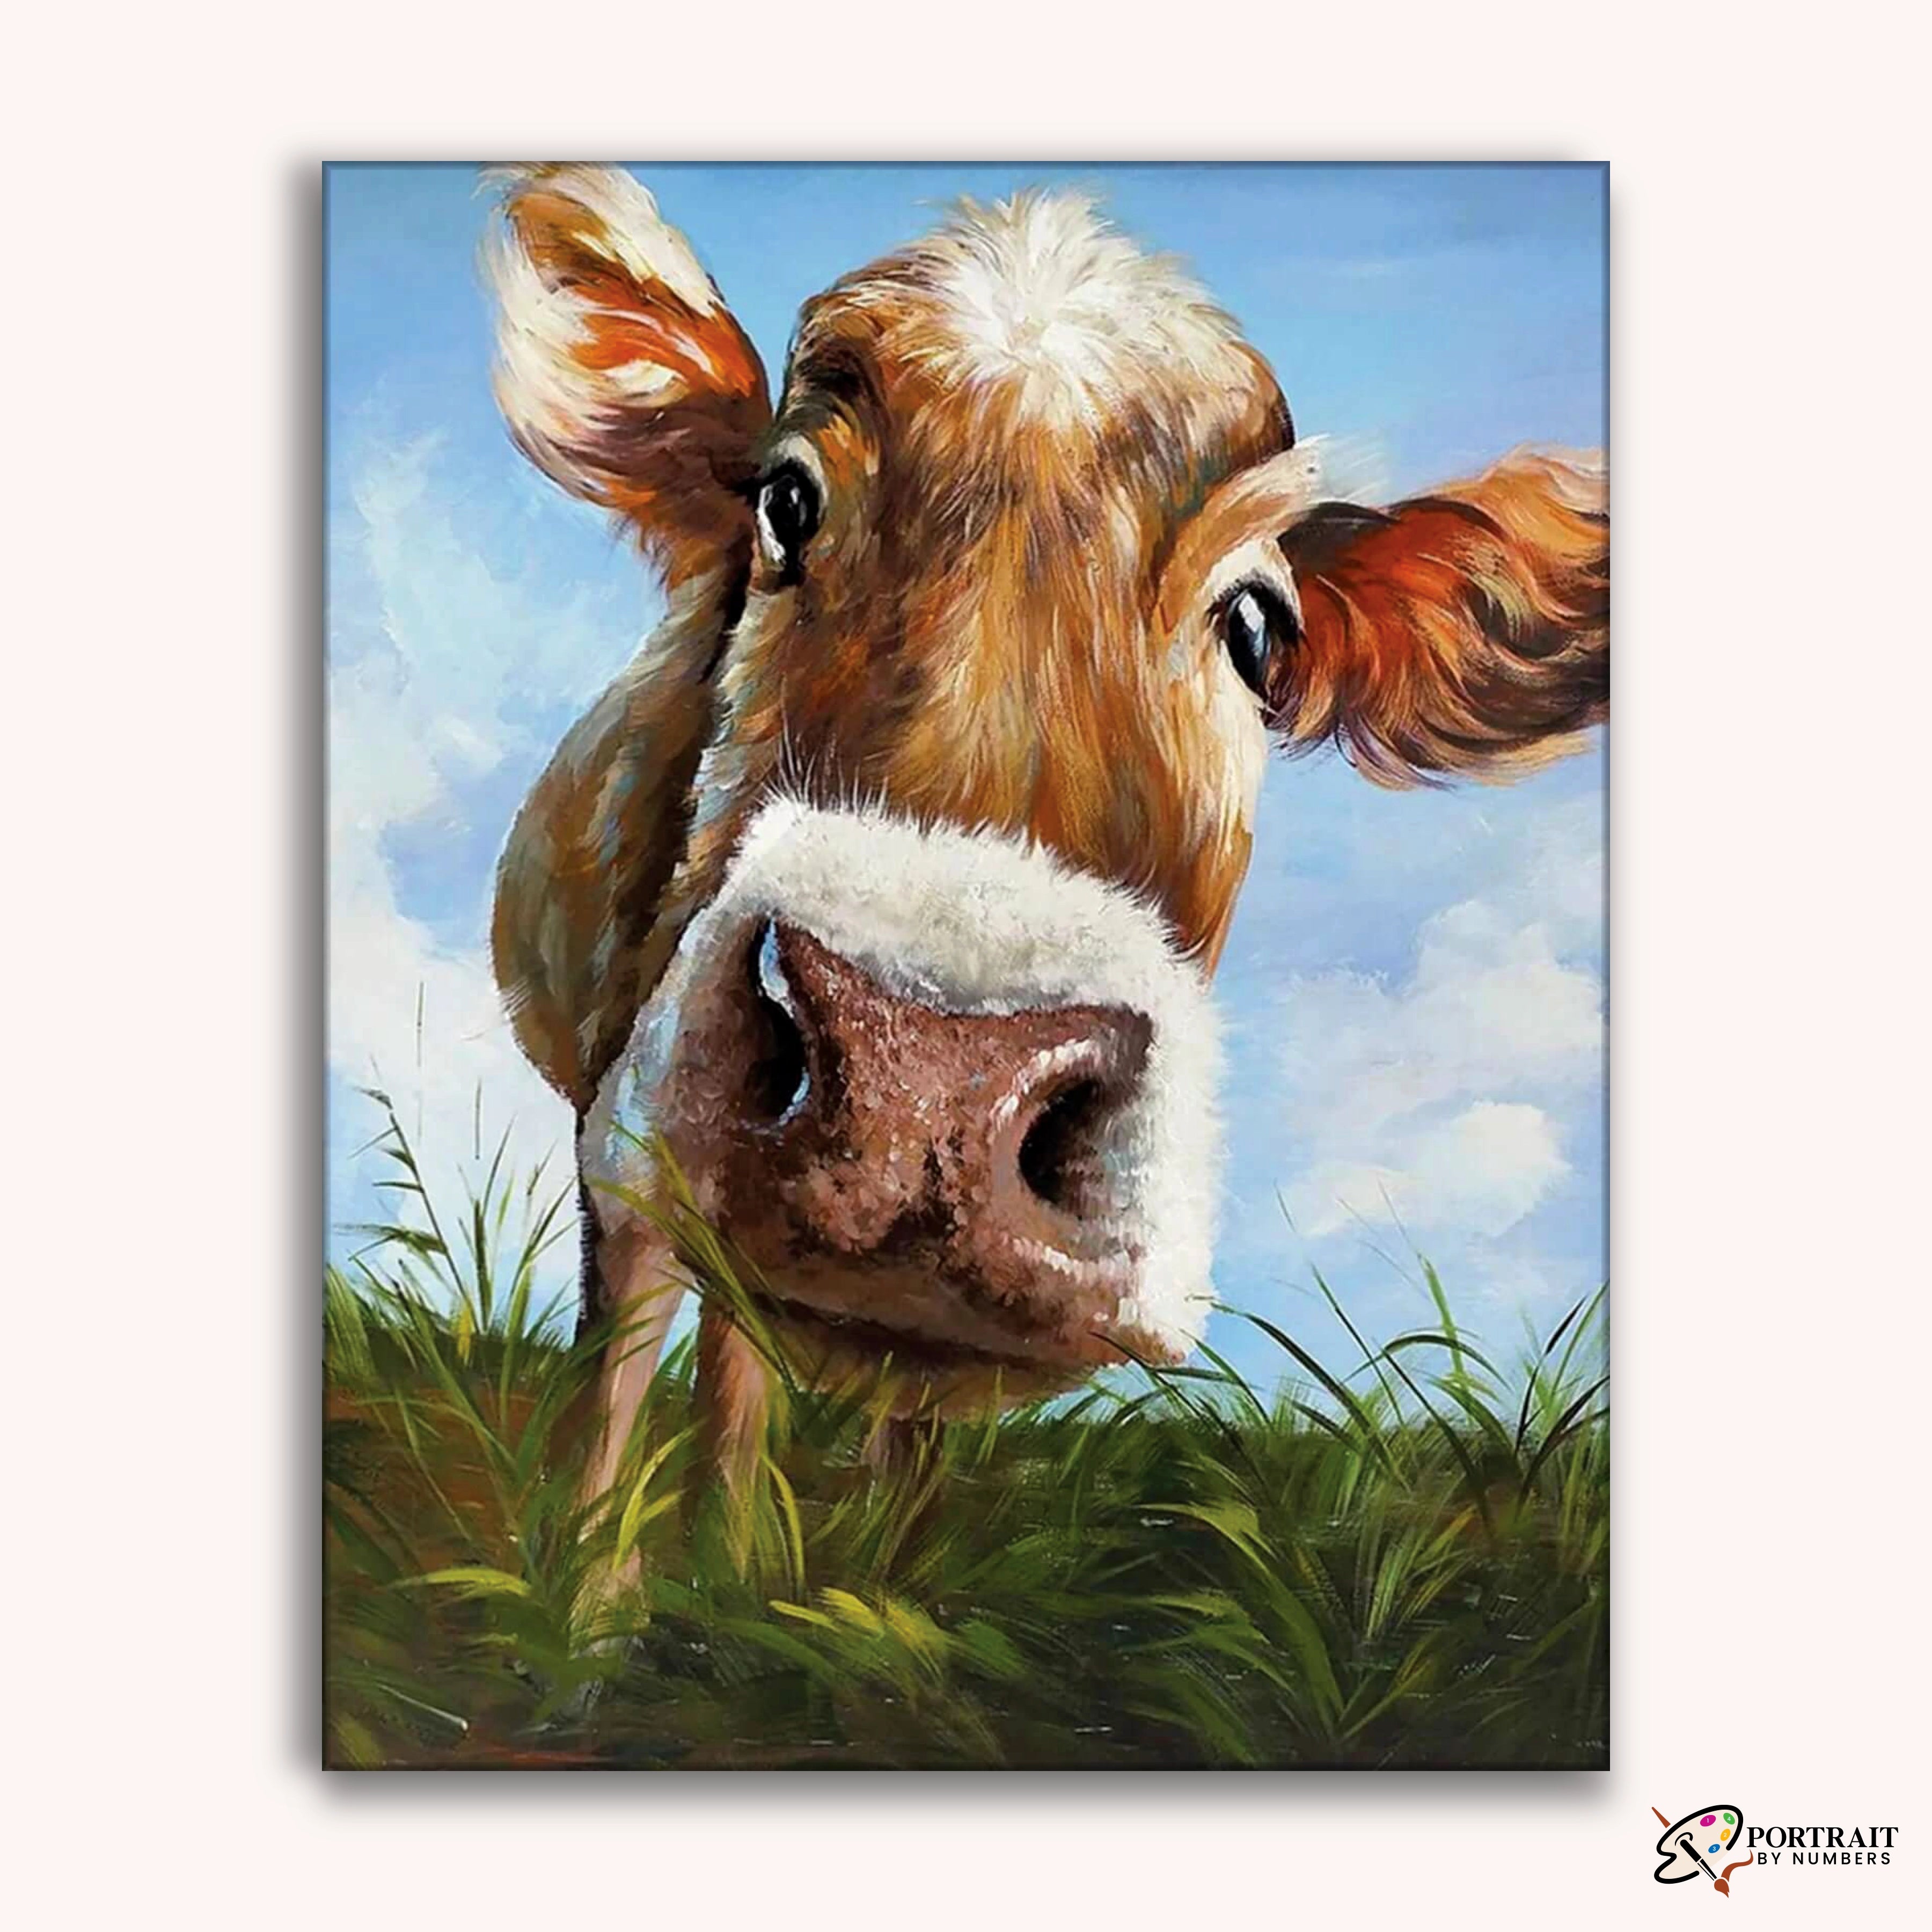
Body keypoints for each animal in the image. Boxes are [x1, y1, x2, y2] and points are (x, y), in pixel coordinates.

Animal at [481, 164, 1607, 1511]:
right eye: (785, 500)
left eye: (1255, 626)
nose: (930, 1084)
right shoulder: (619, 1141)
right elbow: (607, 1421)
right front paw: (596, 1570)